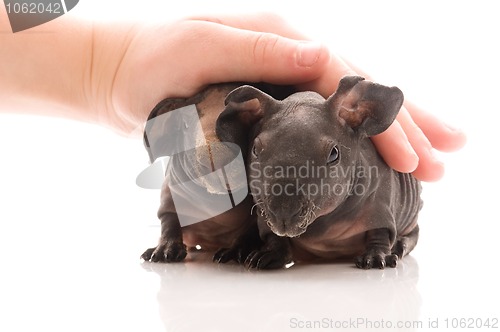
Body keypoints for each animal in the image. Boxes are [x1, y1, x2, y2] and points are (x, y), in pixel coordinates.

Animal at [215, 76, 422, 268]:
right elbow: (273, 237)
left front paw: (377, 255)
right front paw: (269, 253)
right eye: (255, 150)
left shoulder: (379, 205)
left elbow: (380, 233)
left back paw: (400, 246)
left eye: (334, 154)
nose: (283, 213)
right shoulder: (264, 216)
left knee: (413, 234)